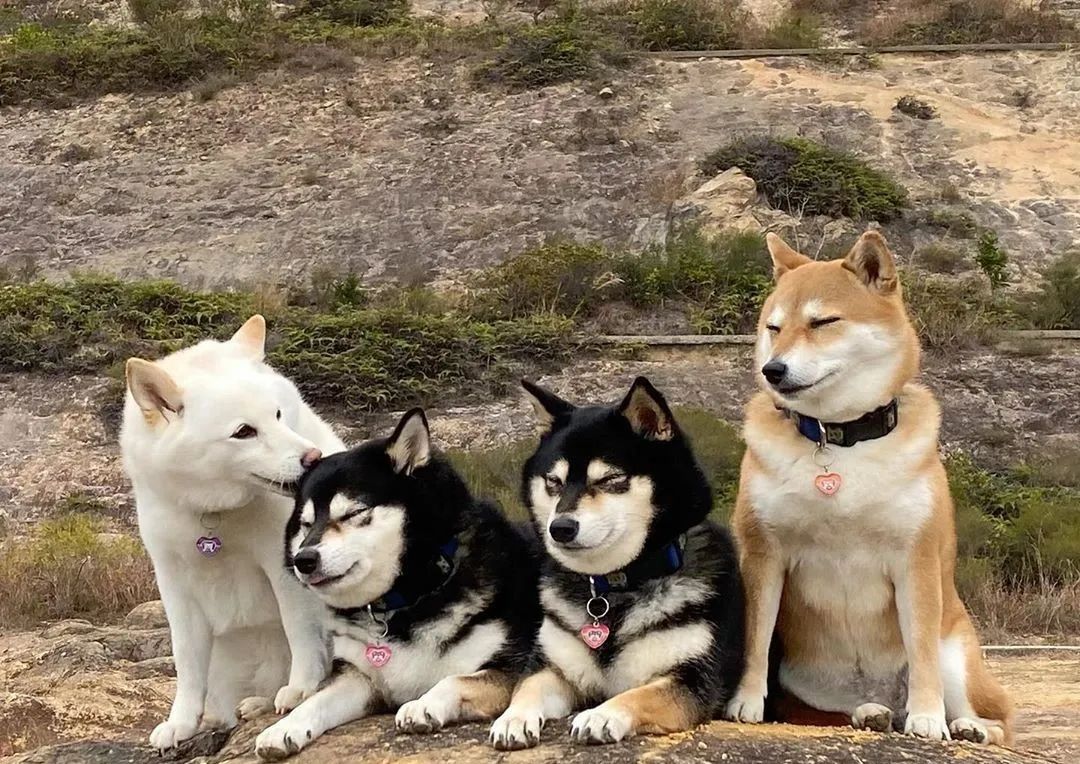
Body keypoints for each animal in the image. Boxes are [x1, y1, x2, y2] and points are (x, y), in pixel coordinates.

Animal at [120, 317, 343, 752]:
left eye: (278, 415)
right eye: (244, 432)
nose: (314, 459)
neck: (215, 513)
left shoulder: (286, 567)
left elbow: (299, 630)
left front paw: (302, 687)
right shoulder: (174, 584)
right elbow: (186, 660)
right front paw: (181, 722)